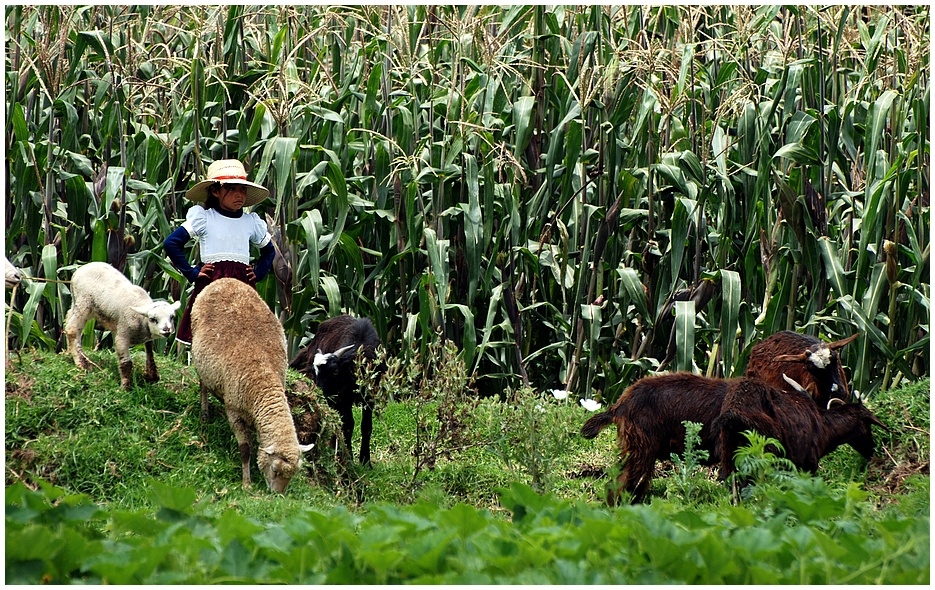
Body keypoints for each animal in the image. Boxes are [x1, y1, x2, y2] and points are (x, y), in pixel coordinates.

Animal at [64, 262, 181, 390]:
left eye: (172, 317)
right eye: (153, 319)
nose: (167, 330)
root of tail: (80, 269)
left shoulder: (144, 336)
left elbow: (150, 351)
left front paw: (152, 375)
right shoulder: (122, 335)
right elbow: (126, 363)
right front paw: (125, 387)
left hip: (77, 302)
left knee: (68, 320)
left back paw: (69, 353)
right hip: (84, 302)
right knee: (72, 329)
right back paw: (82, 363)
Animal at [191, 278, 314, 494]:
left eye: (293, 474)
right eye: (275, 469)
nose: (278, 495)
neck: (264, 382)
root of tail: (225, 280)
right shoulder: (234, 411)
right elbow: (246, 449)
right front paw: (246, 483)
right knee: (203, 385)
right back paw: (204, 413)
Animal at [290, 314, 382, 468]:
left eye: (335, 372)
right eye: (315, 373)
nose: (319, 393)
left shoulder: (370, 395)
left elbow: (366, 426)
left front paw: (366, 461)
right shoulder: (343, 398)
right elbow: (348, 426)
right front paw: (349, 458)